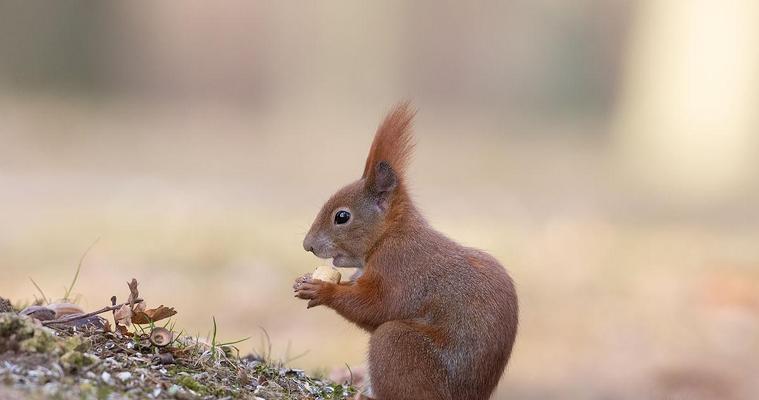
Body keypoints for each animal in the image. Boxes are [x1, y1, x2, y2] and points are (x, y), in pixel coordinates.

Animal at [294, 103, 520, 400]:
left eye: (342, 217)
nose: (307, 245)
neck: (389, 236)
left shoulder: (400, 270)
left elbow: (378, 306)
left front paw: (322, 290)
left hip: (397, 345)